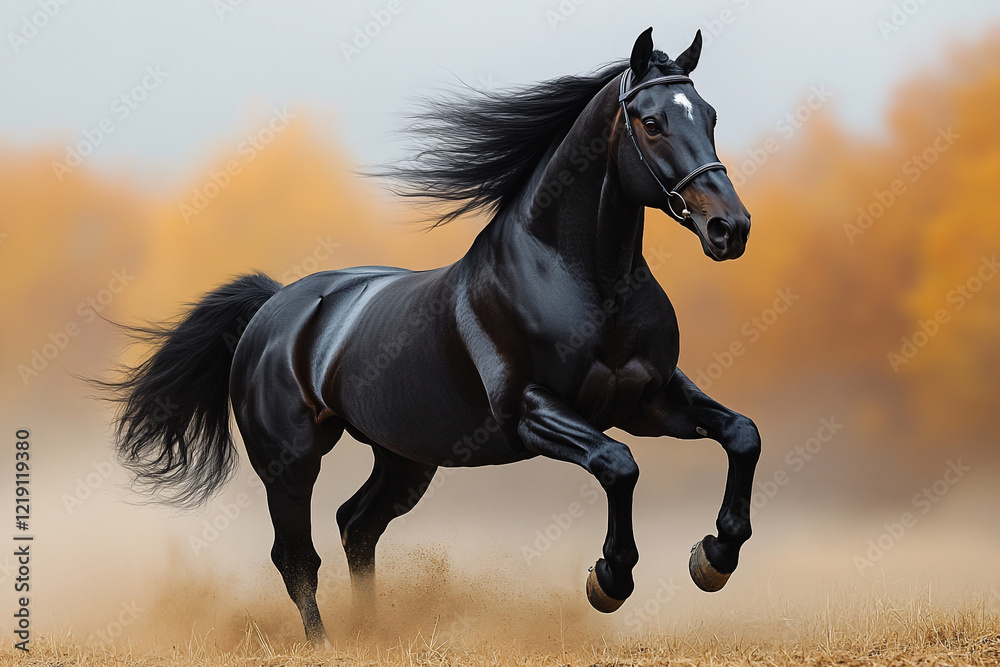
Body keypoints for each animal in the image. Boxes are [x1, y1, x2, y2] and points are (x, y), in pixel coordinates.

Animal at [106, 27, 759, 644]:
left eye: (710, 117)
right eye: (651, 122)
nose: (730, 229)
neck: (583, 281)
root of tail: (274, 306)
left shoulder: (647, 401)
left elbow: (741, 435)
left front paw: (714, 558)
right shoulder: (533, 412)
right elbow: (619, 465)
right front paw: (610, 580)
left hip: (404, 457)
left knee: (356, 525)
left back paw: (373, 634)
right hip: (289, 463)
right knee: (297, 559)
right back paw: (328, 644)